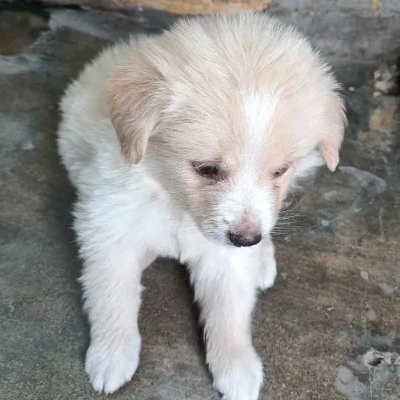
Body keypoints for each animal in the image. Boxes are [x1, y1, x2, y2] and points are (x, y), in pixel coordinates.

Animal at [57, 11, 346, 400]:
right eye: (206, 169)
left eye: (280, 171)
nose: (246, 240)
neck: (174, 199)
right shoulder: (107, 225)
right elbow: (112, 294)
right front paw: (112, 356)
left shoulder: (228, 254)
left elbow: (229, 311)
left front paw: (238, 369)